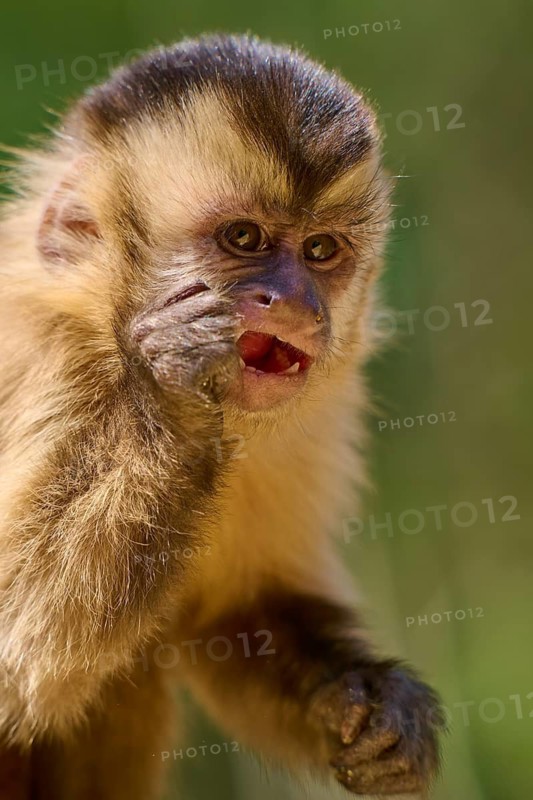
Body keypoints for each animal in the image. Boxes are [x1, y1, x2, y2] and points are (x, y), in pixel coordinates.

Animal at [0, 34, 444, 799]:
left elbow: (235, 614)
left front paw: (373, 698)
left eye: (320, 251)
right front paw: (174, 392)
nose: (292, 300)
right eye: (243, 237)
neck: (105, 336)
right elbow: (18, 654)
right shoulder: (48, 362)